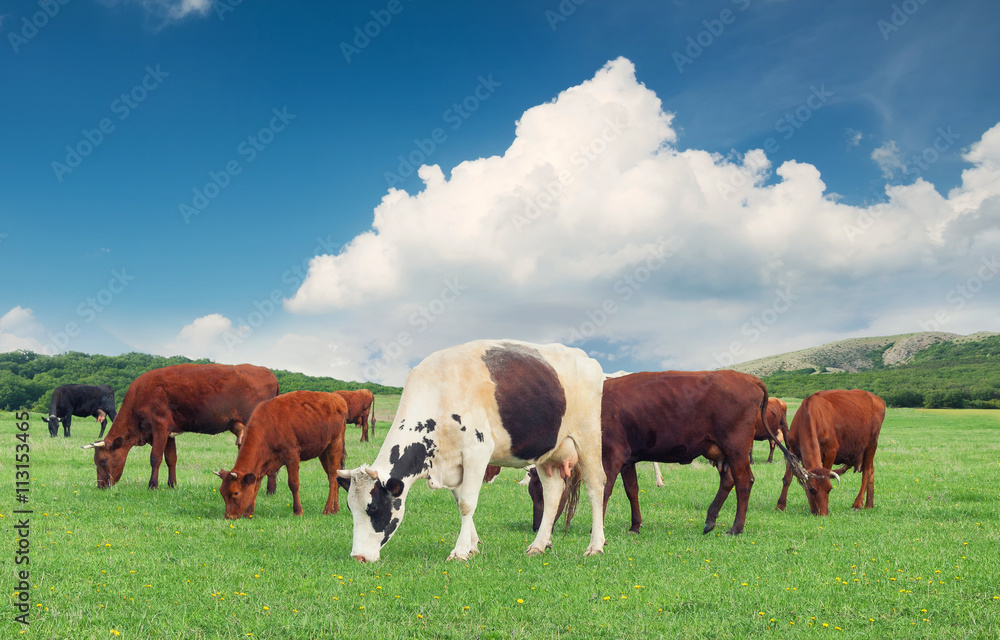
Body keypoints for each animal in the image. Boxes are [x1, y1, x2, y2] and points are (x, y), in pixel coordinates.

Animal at [81, 364, 278, 490]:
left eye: (103, 461)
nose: (100, 486)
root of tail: (266, 371)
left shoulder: (159, 426)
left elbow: (155, 458)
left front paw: (153, 485)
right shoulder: (169, 432)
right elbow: (171, 458)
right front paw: (171, 485)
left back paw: (269, 490)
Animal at [214, 390, 348, 520]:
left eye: (235, 493)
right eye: (222, 492)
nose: (229, 516)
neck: (267, 426)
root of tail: (338, 399)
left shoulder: (292, 457)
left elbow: (293, 484)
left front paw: (298, 511)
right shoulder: (262, 464)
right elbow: (256, 485)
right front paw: (249, 513)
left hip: (335, 444)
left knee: (333, 476)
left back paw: (327, 510)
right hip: (323, 451)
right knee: (333, 475)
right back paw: (335, 509)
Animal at [336, 338, 604, 564]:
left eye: (373, 508)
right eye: (350, 508)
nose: (358, 557)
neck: (439, 391)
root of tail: (583, 357)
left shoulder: (477, 453)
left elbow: (467, 503)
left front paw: (461, 551)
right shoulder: (453, 463)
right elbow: (459, 501)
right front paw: (473, 545)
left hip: (588, 438)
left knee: (595, 486)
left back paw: (595, 546)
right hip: (547, 453)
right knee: (552, 493)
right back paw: (538, 545)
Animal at [528, 370, 784, 536]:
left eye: (541, 492)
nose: (535, 526)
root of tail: (748, 378)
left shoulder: (611, 455)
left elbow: (605, 489)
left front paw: (596, 528)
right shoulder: (627, 459)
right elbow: (631, 490)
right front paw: (635, 526)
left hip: (736, 447)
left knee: (743, 482)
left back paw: (736, 528)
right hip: (720, 451)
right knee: (728, 480)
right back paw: (710, 519)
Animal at [772, 388, 884, 516]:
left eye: (829, 489)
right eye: (812, 490)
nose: (823, 514)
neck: (809, 414)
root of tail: (875, 398)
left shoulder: (831, 450)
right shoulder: (793, 450)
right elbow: (787, 479)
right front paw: (780, 506)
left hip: (872, 443)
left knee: (867, 472)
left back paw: (858, 504)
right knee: (871, 470)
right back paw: (869, 504)